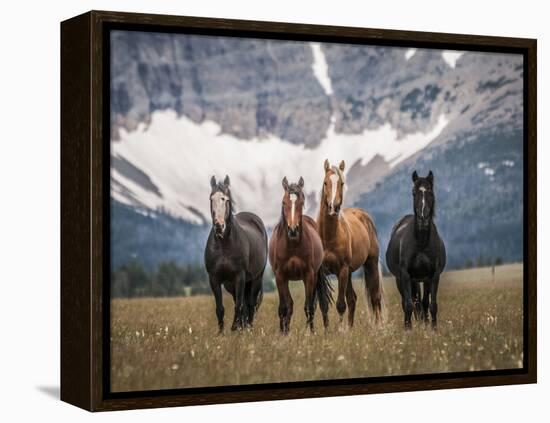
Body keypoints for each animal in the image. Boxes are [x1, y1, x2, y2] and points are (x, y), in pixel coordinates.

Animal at [205, 174, 270, 332]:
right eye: (211, 199)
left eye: (225, 199)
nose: (219, 226)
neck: (224, 245)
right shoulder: (214, 278)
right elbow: (220, 308)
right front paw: (221, 332)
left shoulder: (240, 276)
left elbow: (240, 306)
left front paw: (236, 328)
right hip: (231, 284)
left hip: (255, 278)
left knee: (250, 304)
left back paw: (248, 328)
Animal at [270, 176, 334, 334]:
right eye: (284, 202)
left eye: (302, 202)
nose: (293, 230)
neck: (292, 245)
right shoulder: (280, 276)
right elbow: (284, 307)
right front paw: (283, 333)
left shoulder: (308, 275)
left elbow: (309, 306)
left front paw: (309, 333)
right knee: (289, 305)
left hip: (316, 276)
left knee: (321, 304)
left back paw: (326, 329)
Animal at [316, 159, 386, 328]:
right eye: (325, 182)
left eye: (341, 183)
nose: (334, 207)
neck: (328, 237)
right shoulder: (320, 273)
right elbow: (323, 304)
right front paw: (327, 331)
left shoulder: (342, 270)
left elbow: (341, 304)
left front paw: (341, 330)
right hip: (349, 273)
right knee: (353, 299)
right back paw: (351, 327)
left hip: (369, 264)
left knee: (375, 297)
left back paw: (379, 327)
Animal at [386, 171, 446, 330]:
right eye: (414, 192)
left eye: (430, 191)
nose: (423, 217)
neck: (421, 243)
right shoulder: (405, 275)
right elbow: (408, 305)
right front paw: (408, 329)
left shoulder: (433, 275)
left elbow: (431, 305)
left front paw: (433, 328)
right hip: (402, 279)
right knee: (409, 302)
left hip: (422, 279)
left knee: (422, 303)